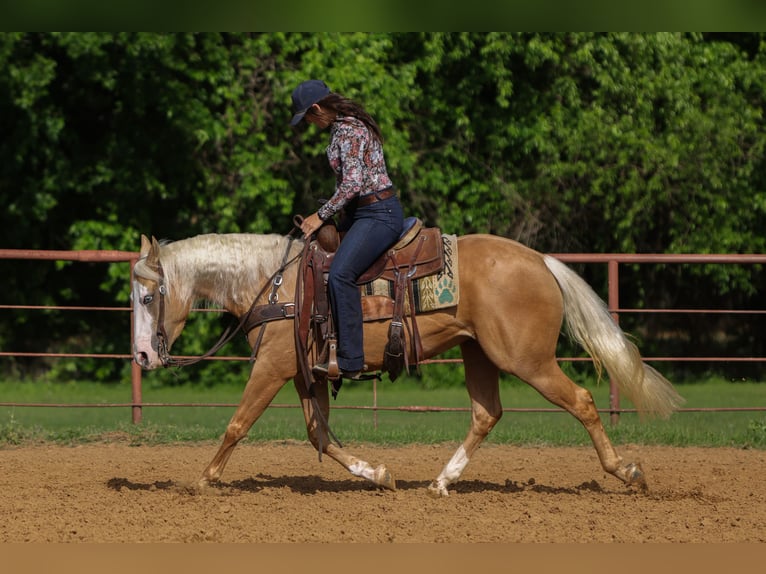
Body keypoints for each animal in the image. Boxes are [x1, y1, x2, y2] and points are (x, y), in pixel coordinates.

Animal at [131, 231, 683, 496]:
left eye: (147, 296)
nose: (141, 355)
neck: (273, 282)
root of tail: (539, 260)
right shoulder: (304, 375)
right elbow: (320, 435)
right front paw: (378, 475)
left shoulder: (271, 367)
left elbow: (237, 424)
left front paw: (204, 480)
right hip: (478, 354)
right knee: (486, 413)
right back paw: (441, 482)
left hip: (527, 360)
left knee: (583, 400)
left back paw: (627, 471)